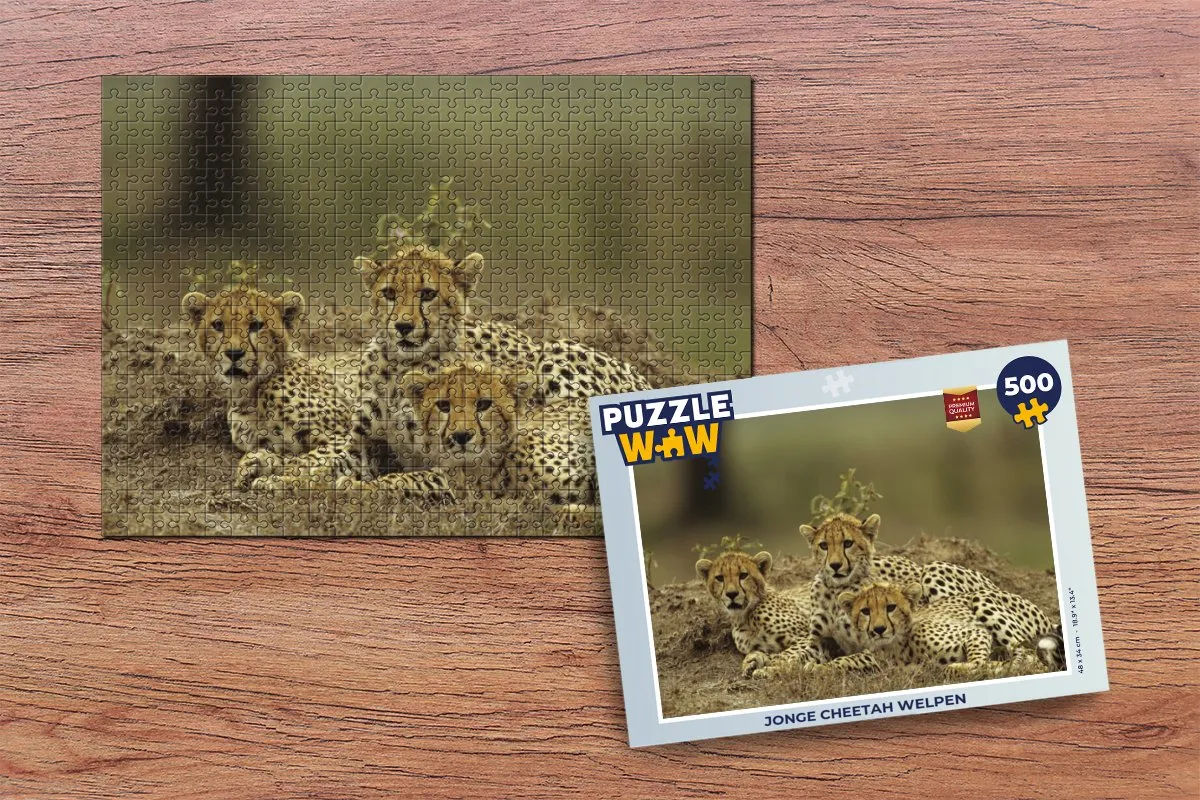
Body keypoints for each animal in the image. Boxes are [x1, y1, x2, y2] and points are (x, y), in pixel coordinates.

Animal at [181, 284, 448, 498]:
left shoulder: (345, 435)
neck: (252, 392)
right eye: (218, 325)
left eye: (256, 325)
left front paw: (275, 477)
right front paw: (258, 464)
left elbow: (308, 460)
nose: (234, 353)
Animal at [351, 244, 651, 477]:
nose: (403, 326)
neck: (398, 367)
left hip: (554, 354)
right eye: (389, 293)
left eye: (427, 293)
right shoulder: (362, 435)